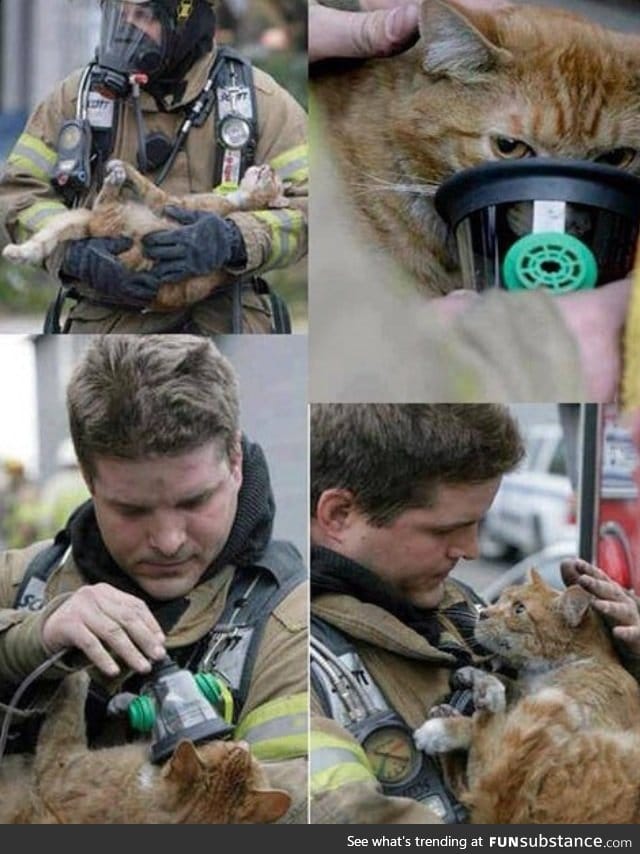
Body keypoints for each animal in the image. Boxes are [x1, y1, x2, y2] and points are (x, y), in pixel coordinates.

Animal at [416, 572, 640, 824]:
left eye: (519, 609)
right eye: (501, 599)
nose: (483, 613)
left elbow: (484, 733)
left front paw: (450, 726)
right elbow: (508, 689)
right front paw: (473, 674)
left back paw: (448, 721)